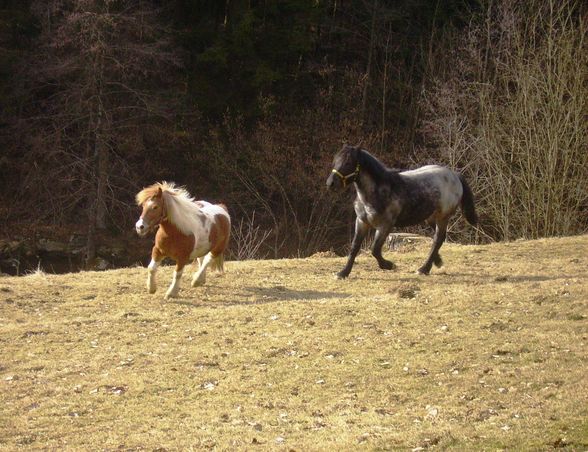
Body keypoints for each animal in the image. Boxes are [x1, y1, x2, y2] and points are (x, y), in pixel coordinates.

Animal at [324, 145, 480, 278]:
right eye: (335, 161)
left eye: (348, 163)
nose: (330, 184)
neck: (378, 192)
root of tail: (454, 175)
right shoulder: (362, 222)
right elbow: (354, 248)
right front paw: (343, 273)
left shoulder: (385, 225)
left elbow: (375, 249)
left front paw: (388, 265)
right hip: (431, 217)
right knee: (439, 238)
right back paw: (436, 262)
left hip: (443, 216)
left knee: (438, 239)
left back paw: (424, 269)